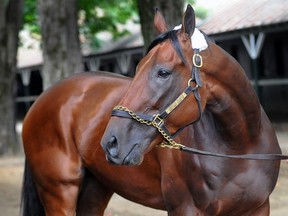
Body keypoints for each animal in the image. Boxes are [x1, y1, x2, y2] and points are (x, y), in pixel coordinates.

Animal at [21, 4, 284, 216]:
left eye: (163, 72)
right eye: (137, 68)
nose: (111, 142)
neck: (239, 148)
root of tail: (43, 99)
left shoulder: (258, 209)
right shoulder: (184, 209)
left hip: (96, 188)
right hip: (60, 192)